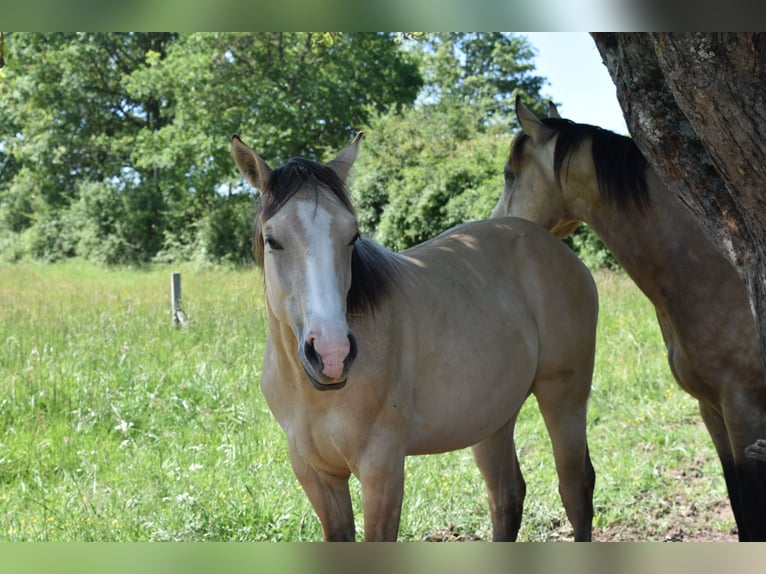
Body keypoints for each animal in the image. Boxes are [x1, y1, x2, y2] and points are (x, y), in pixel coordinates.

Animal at [231, 132, 598, 541]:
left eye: (352, 236)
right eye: (273, 240)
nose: (331, 353)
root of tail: (549, 244)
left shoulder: (382, 470)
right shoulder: (315, 474)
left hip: (563, 399)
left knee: (576, 488)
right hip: (493, 420)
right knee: (507, 497)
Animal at [492, 96, 766, 541]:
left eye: (508, 174)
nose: (493, 227)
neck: (717, 268)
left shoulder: (745, 411)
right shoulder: (714, 412)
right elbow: (741, 511)